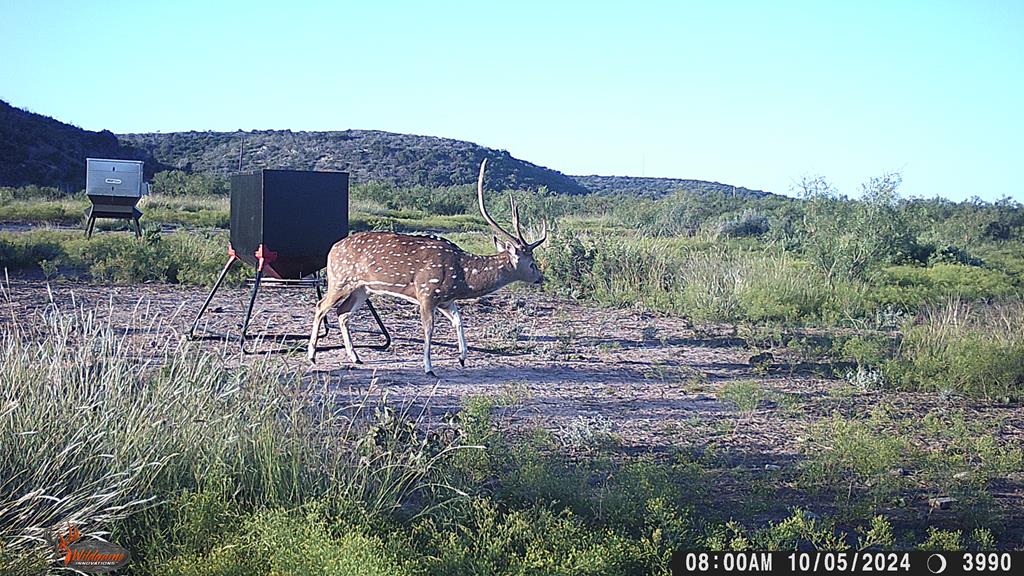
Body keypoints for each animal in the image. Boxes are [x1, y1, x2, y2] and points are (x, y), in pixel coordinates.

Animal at [307, 158, 548, 375]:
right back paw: (312, 356)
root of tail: (332, 250)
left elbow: (459, 321)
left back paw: (355, 357)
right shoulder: (427, 293)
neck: (463, 278)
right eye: (532, 263)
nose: (541, 278)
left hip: (363, 289)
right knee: (321, 306)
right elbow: (429, 329)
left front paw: (462, 358)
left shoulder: (446, 300)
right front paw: (429, 368)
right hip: (340, 280)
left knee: (342, 312)